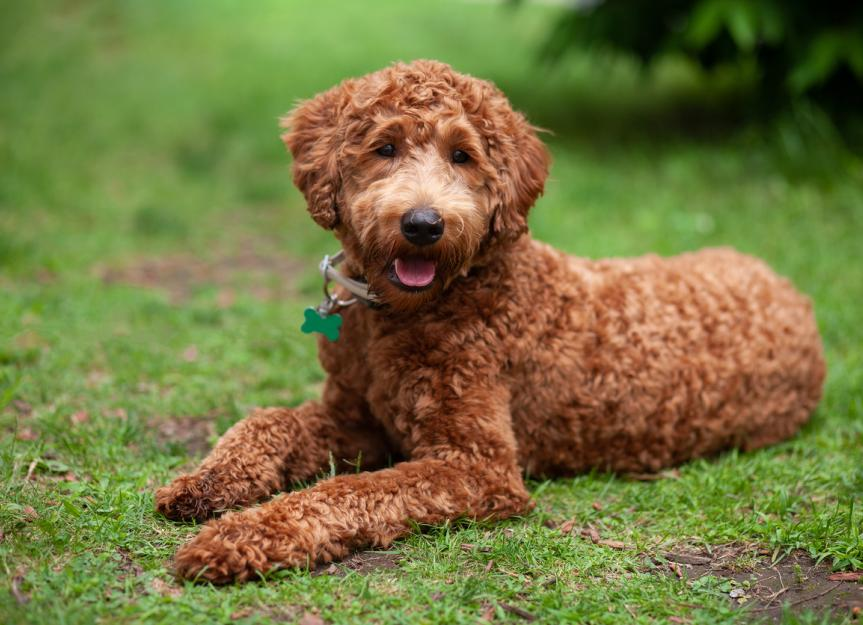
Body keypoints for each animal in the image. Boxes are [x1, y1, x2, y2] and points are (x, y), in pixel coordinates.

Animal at [154, 61, 824, 584]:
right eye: (385, 147)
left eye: (463, 155)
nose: (424, 224)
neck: (414, 311)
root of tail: (787, 287)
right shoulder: (354, 417)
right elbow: (267, 421)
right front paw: (205, 483)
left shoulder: (476, 464)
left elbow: (352, 490)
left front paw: (237, 537)